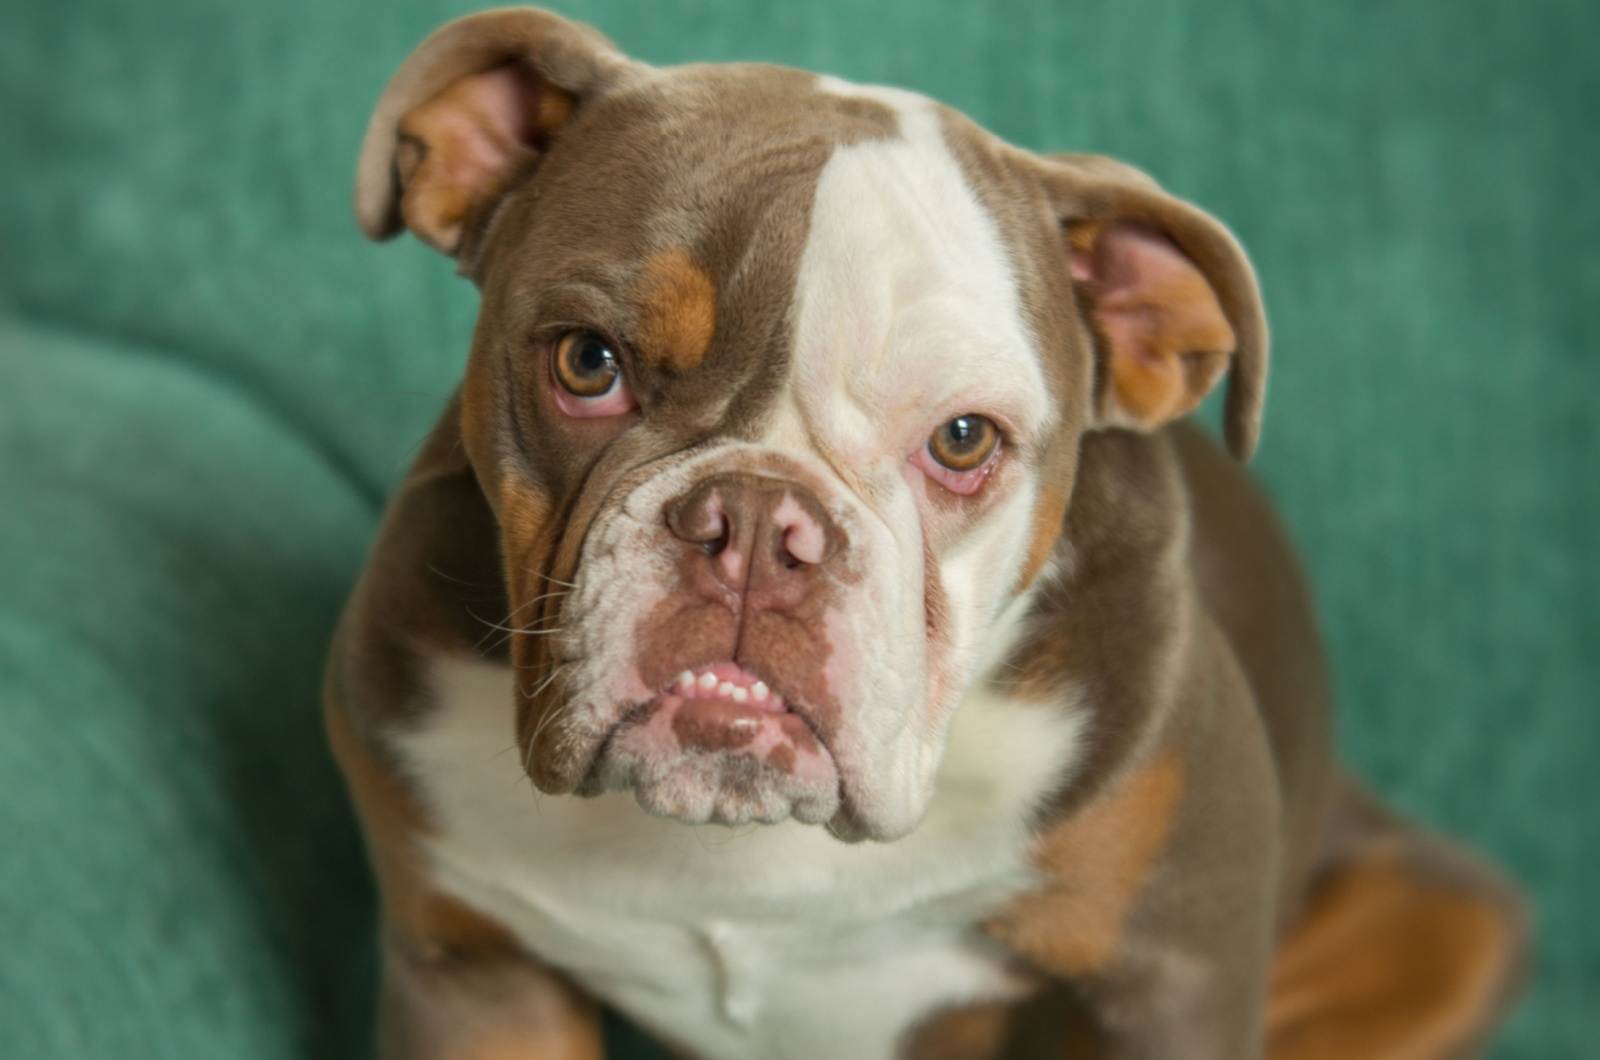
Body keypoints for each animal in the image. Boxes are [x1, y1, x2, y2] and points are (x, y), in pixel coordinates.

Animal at [321, 10, 1523, 1060]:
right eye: (586, 362)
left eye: (962, 438)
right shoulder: (472, 974)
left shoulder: (1172, 977)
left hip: (1447, 920)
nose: (755, 521)